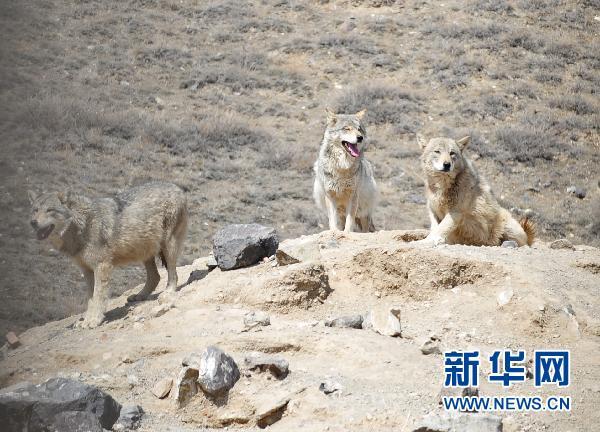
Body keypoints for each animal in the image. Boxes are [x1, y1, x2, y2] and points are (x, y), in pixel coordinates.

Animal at [28, 181, 186, 328]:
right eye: (35, 210)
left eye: (50, 210)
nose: (33, 222)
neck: (82, 226)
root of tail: (176, 186)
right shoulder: (87, 270)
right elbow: (91, 299)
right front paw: (87, 320)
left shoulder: (101, 266)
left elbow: (98, 296)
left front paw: (94, 320)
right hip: (145, 251)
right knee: (155, 277)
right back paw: (140, 295)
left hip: (168, 246)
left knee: (173, 274)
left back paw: (168, 292)